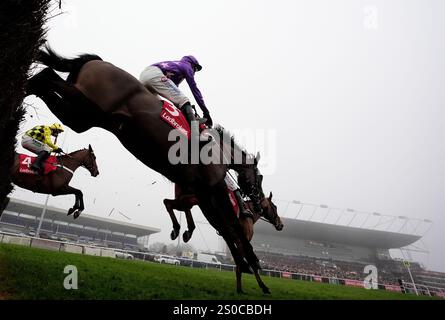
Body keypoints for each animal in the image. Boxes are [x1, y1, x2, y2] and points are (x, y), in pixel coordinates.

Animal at [26, 45, 260, 276]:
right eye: (259, 178)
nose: (257, 202)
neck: (219, 150)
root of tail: (97, 61)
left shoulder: (201, 192)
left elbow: (224, 227)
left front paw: (244, 261)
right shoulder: (214, 187)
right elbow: (232, 225)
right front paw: (253, 261)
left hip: (85, 116)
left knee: (47, 84)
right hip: (86, 104)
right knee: (47, 74)